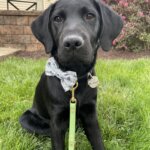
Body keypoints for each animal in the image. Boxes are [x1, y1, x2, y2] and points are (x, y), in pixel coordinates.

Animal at [19, 0, 123, 149]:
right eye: (57, 18)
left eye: (90, 16)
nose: (72, 42)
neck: (74, 78)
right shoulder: (57, 121)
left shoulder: (90, 115)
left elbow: (97, 142)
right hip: (26, 119)